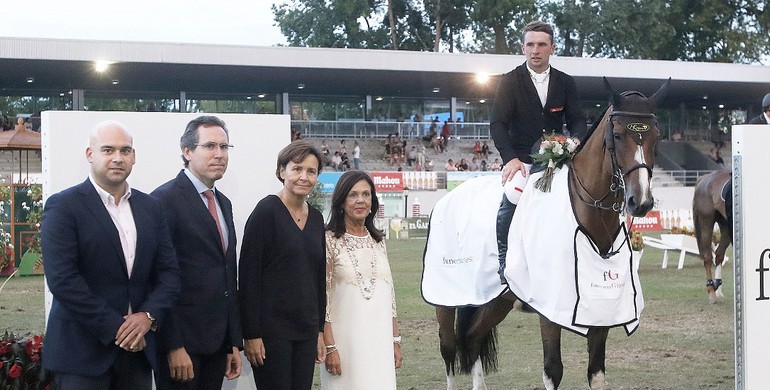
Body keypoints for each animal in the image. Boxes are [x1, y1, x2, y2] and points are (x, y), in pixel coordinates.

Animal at [688, 171, 732, 304]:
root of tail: (704, 178)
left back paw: (719, 292)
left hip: (725, 226)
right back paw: (712, 293)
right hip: (706, 221)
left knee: (718, 255)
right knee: (708, 257)